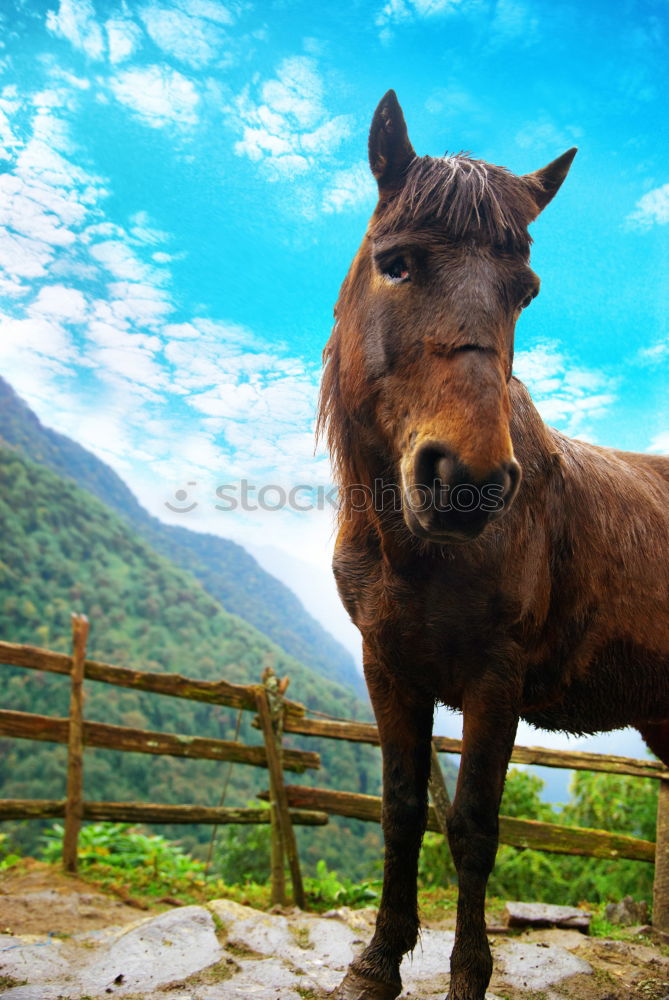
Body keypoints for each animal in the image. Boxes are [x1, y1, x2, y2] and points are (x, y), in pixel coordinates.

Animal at [318, 88, 668, 1000]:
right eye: (397, 262)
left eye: (525, 292)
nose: (466, 481)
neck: (414, 549)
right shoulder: (387, 667)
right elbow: (402, 812)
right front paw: (377, 962)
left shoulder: (494, 680)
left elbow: (474, 828)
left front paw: (467, 973)